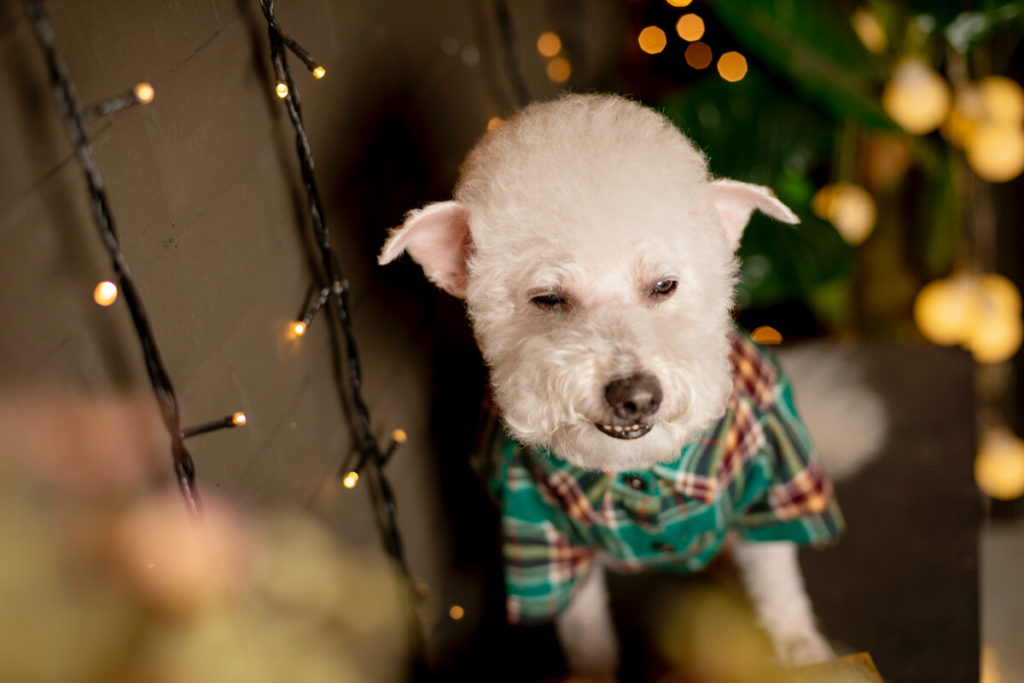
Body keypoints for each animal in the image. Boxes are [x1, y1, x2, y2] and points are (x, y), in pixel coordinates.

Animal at [380, 94, 843, 679]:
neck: (637, 470)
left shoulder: (774, 482)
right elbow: (584, 630)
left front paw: (801, 649)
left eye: (664, 285)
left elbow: (778, 580)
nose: (636, 396)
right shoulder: (542, 540)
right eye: (548, 299)